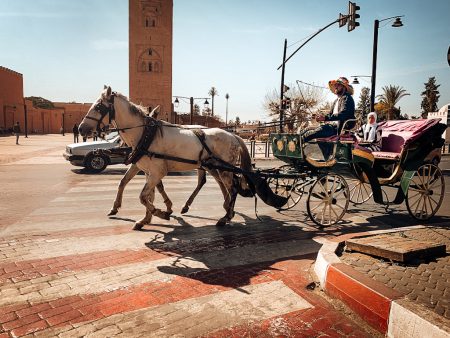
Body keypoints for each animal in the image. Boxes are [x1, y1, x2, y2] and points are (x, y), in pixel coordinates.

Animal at [78, 86, 253, 230]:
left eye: (98, 107)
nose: (81, 129)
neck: (145, 134)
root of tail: (233, 135)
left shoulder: (157, 171)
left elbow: (143, 196)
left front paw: (160, 212)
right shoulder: (146, 170)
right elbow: (138, 189)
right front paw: (144, 218)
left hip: (224, 169)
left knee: (233, 187)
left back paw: (225, 216)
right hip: (213, 166)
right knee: (221, 184)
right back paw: (225, 210)